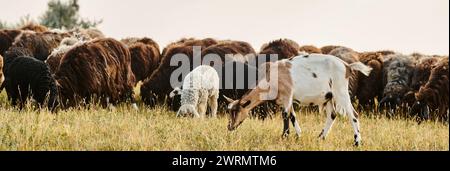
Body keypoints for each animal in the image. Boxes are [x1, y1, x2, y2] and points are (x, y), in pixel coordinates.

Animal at [223, 53, 370, 146]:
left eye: (236, 111)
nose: (229, 127)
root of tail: (347, 66)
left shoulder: (287, 95)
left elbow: (285, 115)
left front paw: (284, 136)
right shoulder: (286, 99)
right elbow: (292, 116)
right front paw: (298, 136)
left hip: (341, 92)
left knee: (353, 115)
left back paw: (357, 142)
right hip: (328, 97)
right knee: (332, 115)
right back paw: (320, 138)